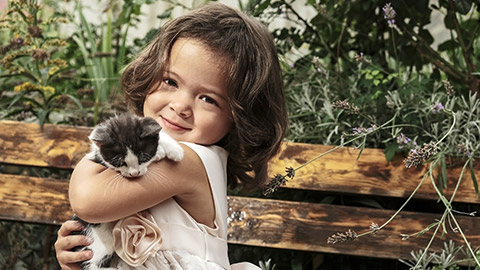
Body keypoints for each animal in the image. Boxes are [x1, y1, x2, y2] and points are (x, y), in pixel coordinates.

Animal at [72, 113, 184, 268]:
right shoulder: (97, 157)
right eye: (121, 163)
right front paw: (160, 152)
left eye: (142, 158)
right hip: (97, 241)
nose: (134, 173)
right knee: (92, 262)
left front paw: (173, 149)